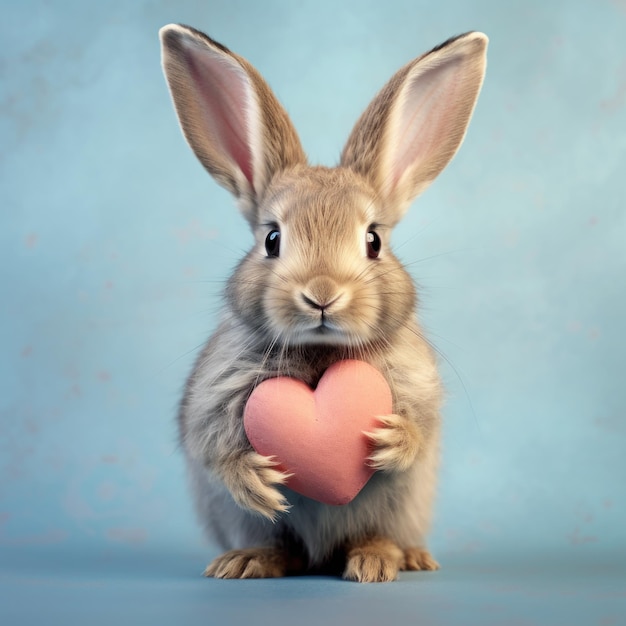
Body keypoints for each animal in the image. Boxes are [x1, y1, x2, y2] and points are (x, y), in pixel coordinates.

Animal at [158, 24, 486, 580]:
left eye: (374, 241)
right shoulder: (213, 397)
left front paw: (390, 441)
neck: (320, 352)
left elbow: (420, 429)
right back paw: (247, 560)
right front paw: (255, 479)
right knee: (278, 546)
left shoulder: (415, 388)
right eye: (272, 239)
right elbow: (214, 447)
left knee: (376, 535)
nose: (322, 295)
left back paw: (384, 560)